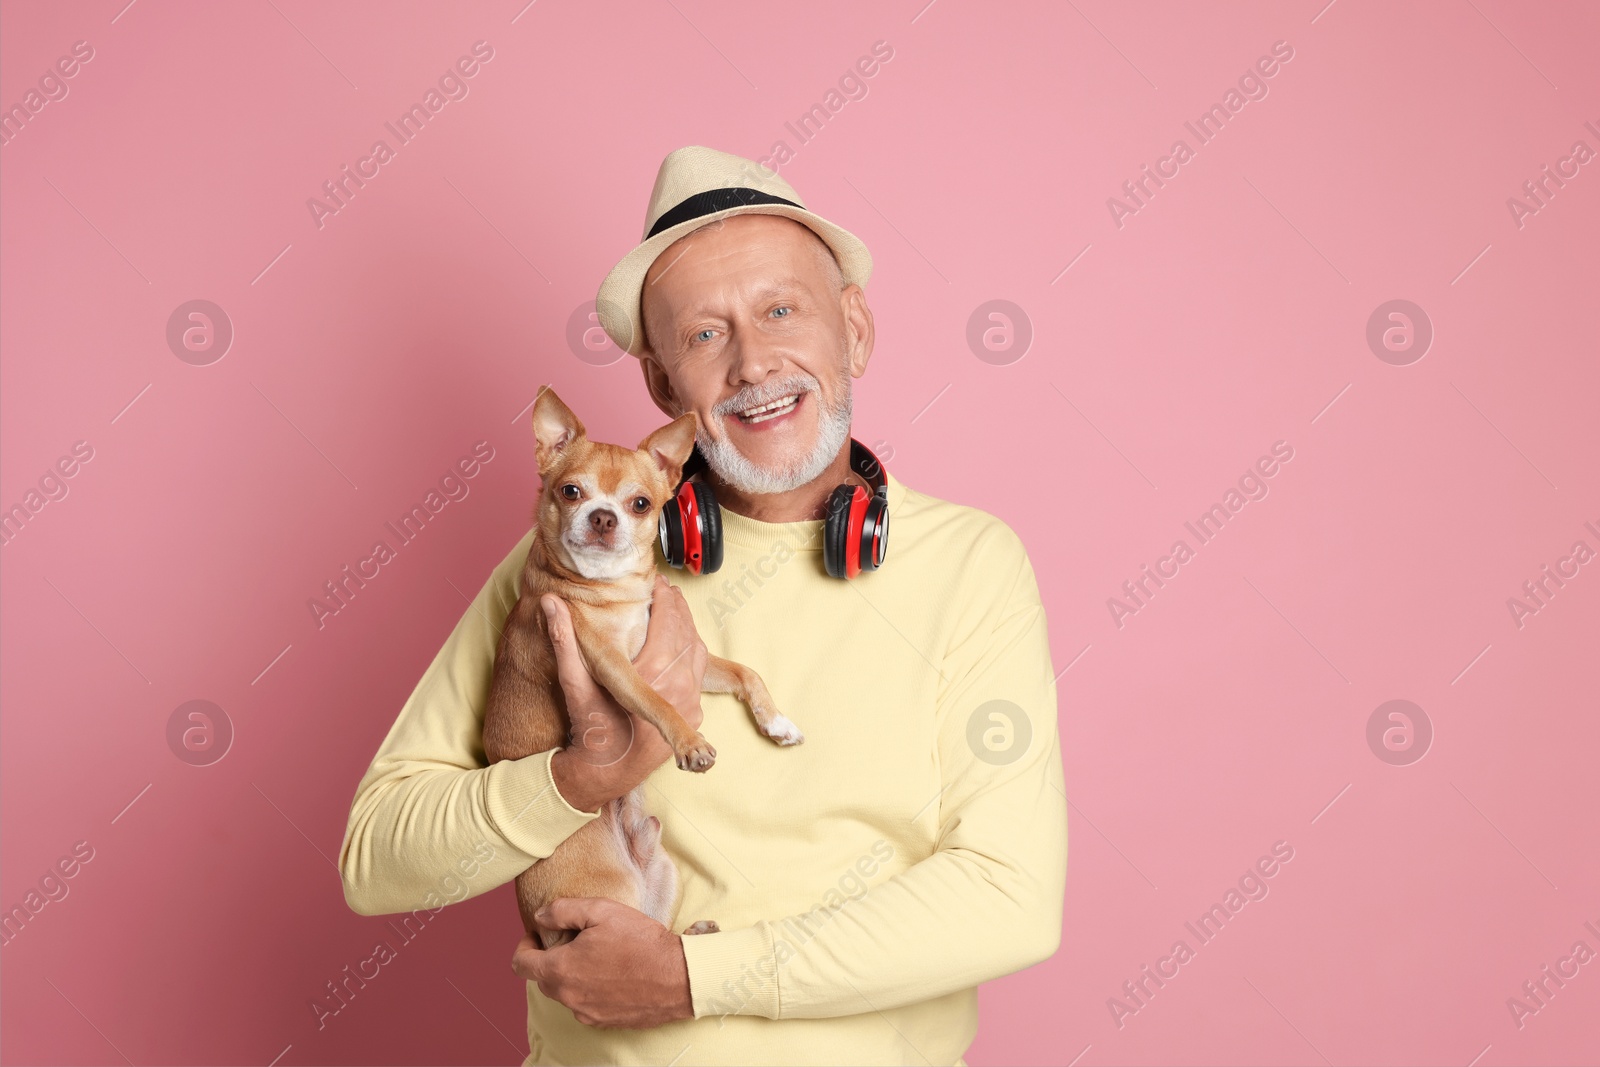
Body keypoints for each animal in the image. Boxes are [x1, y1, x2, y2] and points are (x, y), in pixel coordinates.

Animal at [473, 385, 800, 953]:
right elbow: (658, 701)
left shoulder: (693, 660)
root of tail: (542, 932)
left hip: (660, 869)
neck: (614, 589)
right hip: (605, 892)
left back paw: (695, 932)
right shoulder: (613, 667)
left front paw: (775, 722)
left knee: (651, 934)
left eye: (641, 503)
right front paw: (690, 743)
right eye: (570, 492)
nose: (604, 517)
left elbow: (745, 673)